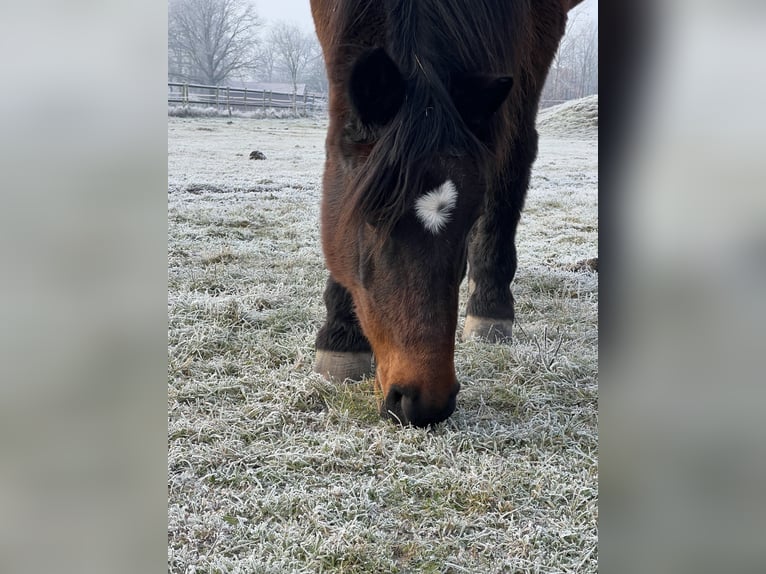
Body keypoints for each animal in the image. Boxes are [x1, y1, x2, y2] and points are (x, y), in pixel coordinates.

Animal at [310, 0, 585, 426]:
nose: (424, 402)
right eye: (370, 213)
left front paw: (490, 309)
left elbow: (511, 159)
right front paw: (342, 337)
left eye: (472, 216)